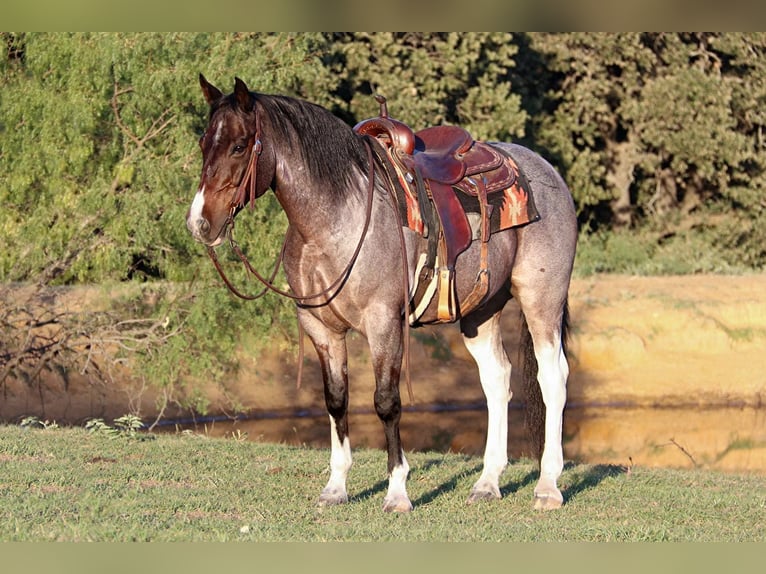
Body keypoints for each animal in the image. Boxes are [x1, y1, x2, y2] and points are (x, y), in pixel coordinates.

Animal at [189, 75, 580, 512]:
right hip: (481, 311)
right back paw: (487, 482)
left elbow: (386, 401)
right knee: (496, 379)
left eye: (239, 145)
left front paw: (397, 491)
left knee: (553, 378)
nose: (200, 223)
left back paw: (548, 486)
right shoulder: (321, 327)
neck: (336, 218)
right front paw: (336, 487)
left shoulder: (384, 322)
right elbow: (336, 399)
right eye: (204, 143)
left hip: (542, 299)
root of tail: (547, 171)